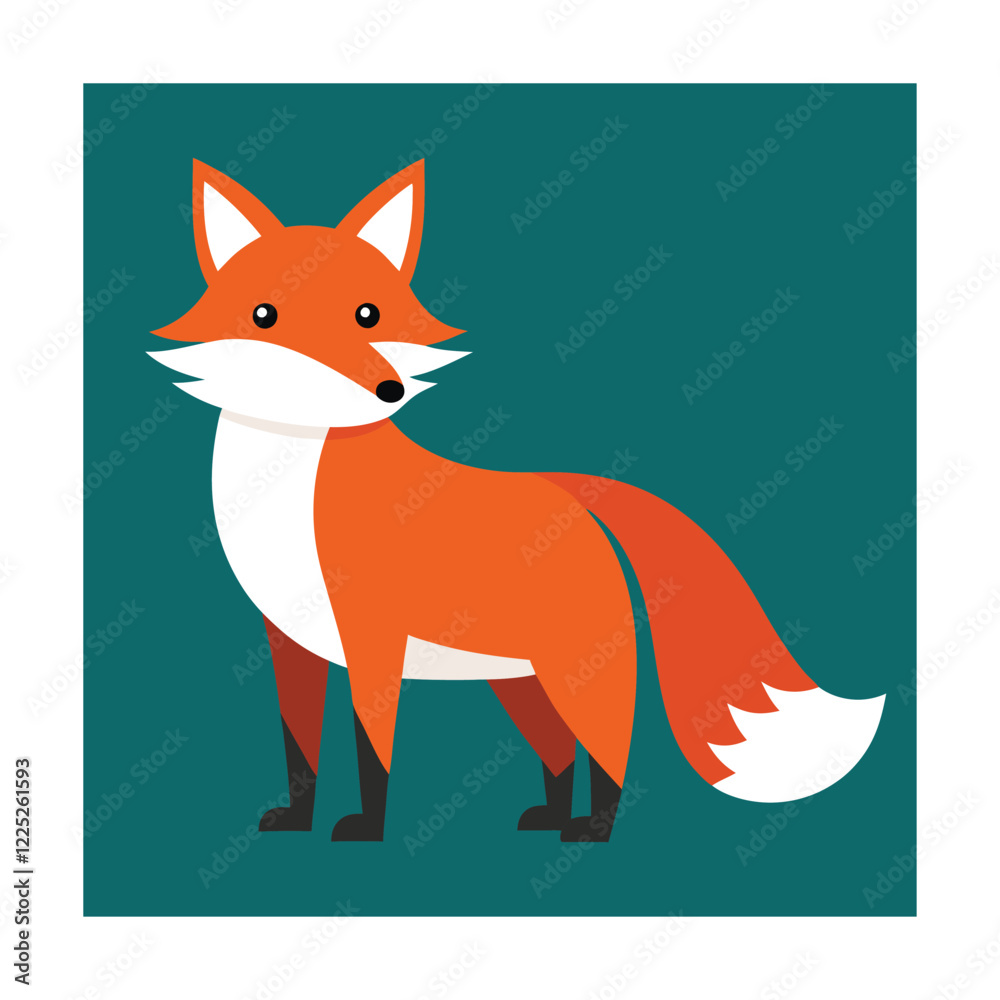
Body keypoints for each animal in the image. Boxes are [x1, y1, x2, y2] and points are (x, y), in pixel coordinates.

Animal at [149, 158, 885, 843]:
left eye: (368, 315)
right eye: (265, 316)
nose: (387, 390)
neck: (286, 485)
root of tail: (576, 494)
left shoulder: (372, 641)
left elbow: (372, 752)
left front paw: (367, 830)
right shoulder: (289, 644)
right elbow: (300, 751)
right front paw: (299, 823)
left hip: (573, 673)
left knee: (610, 750)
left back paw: (593, 831)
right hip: (521, 683)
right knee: (560, 755)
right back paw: (552, 818)